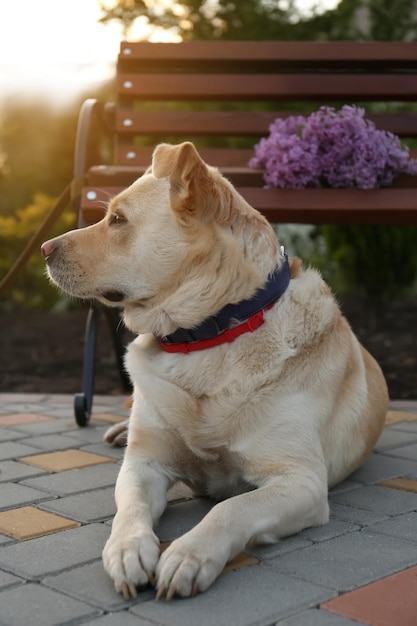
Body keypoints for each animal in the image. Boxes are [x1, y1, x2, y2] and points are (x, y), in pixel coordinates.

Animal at [40, 143, 388, 600]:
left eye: (117, 220)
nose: (44, 249)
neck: (207, 335)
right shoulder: (143, 465)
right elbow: (130, 510)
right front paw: (127, 550)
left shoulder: (302, 481)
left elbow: (231, 507)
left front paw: (189, 555)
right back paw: (118, 431)